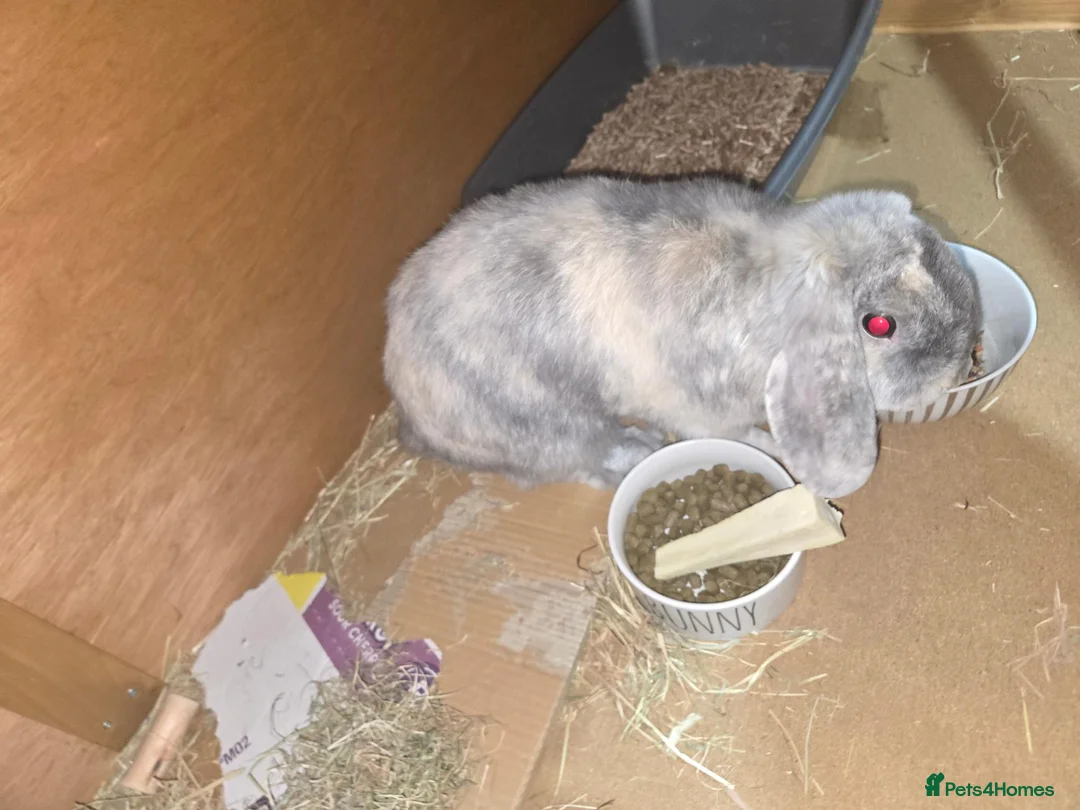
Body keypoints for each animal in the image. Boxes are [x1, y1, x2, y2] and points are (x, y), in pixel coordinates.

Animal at [382, 175, 980, 498]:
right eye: (879, 325)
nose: (961, 361)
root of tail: (409, 414)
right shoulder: (694, 408)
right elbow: (731, 431)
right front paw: (768, 447)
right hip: (552, 426)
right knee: (578, 459)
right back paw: (635, 450)